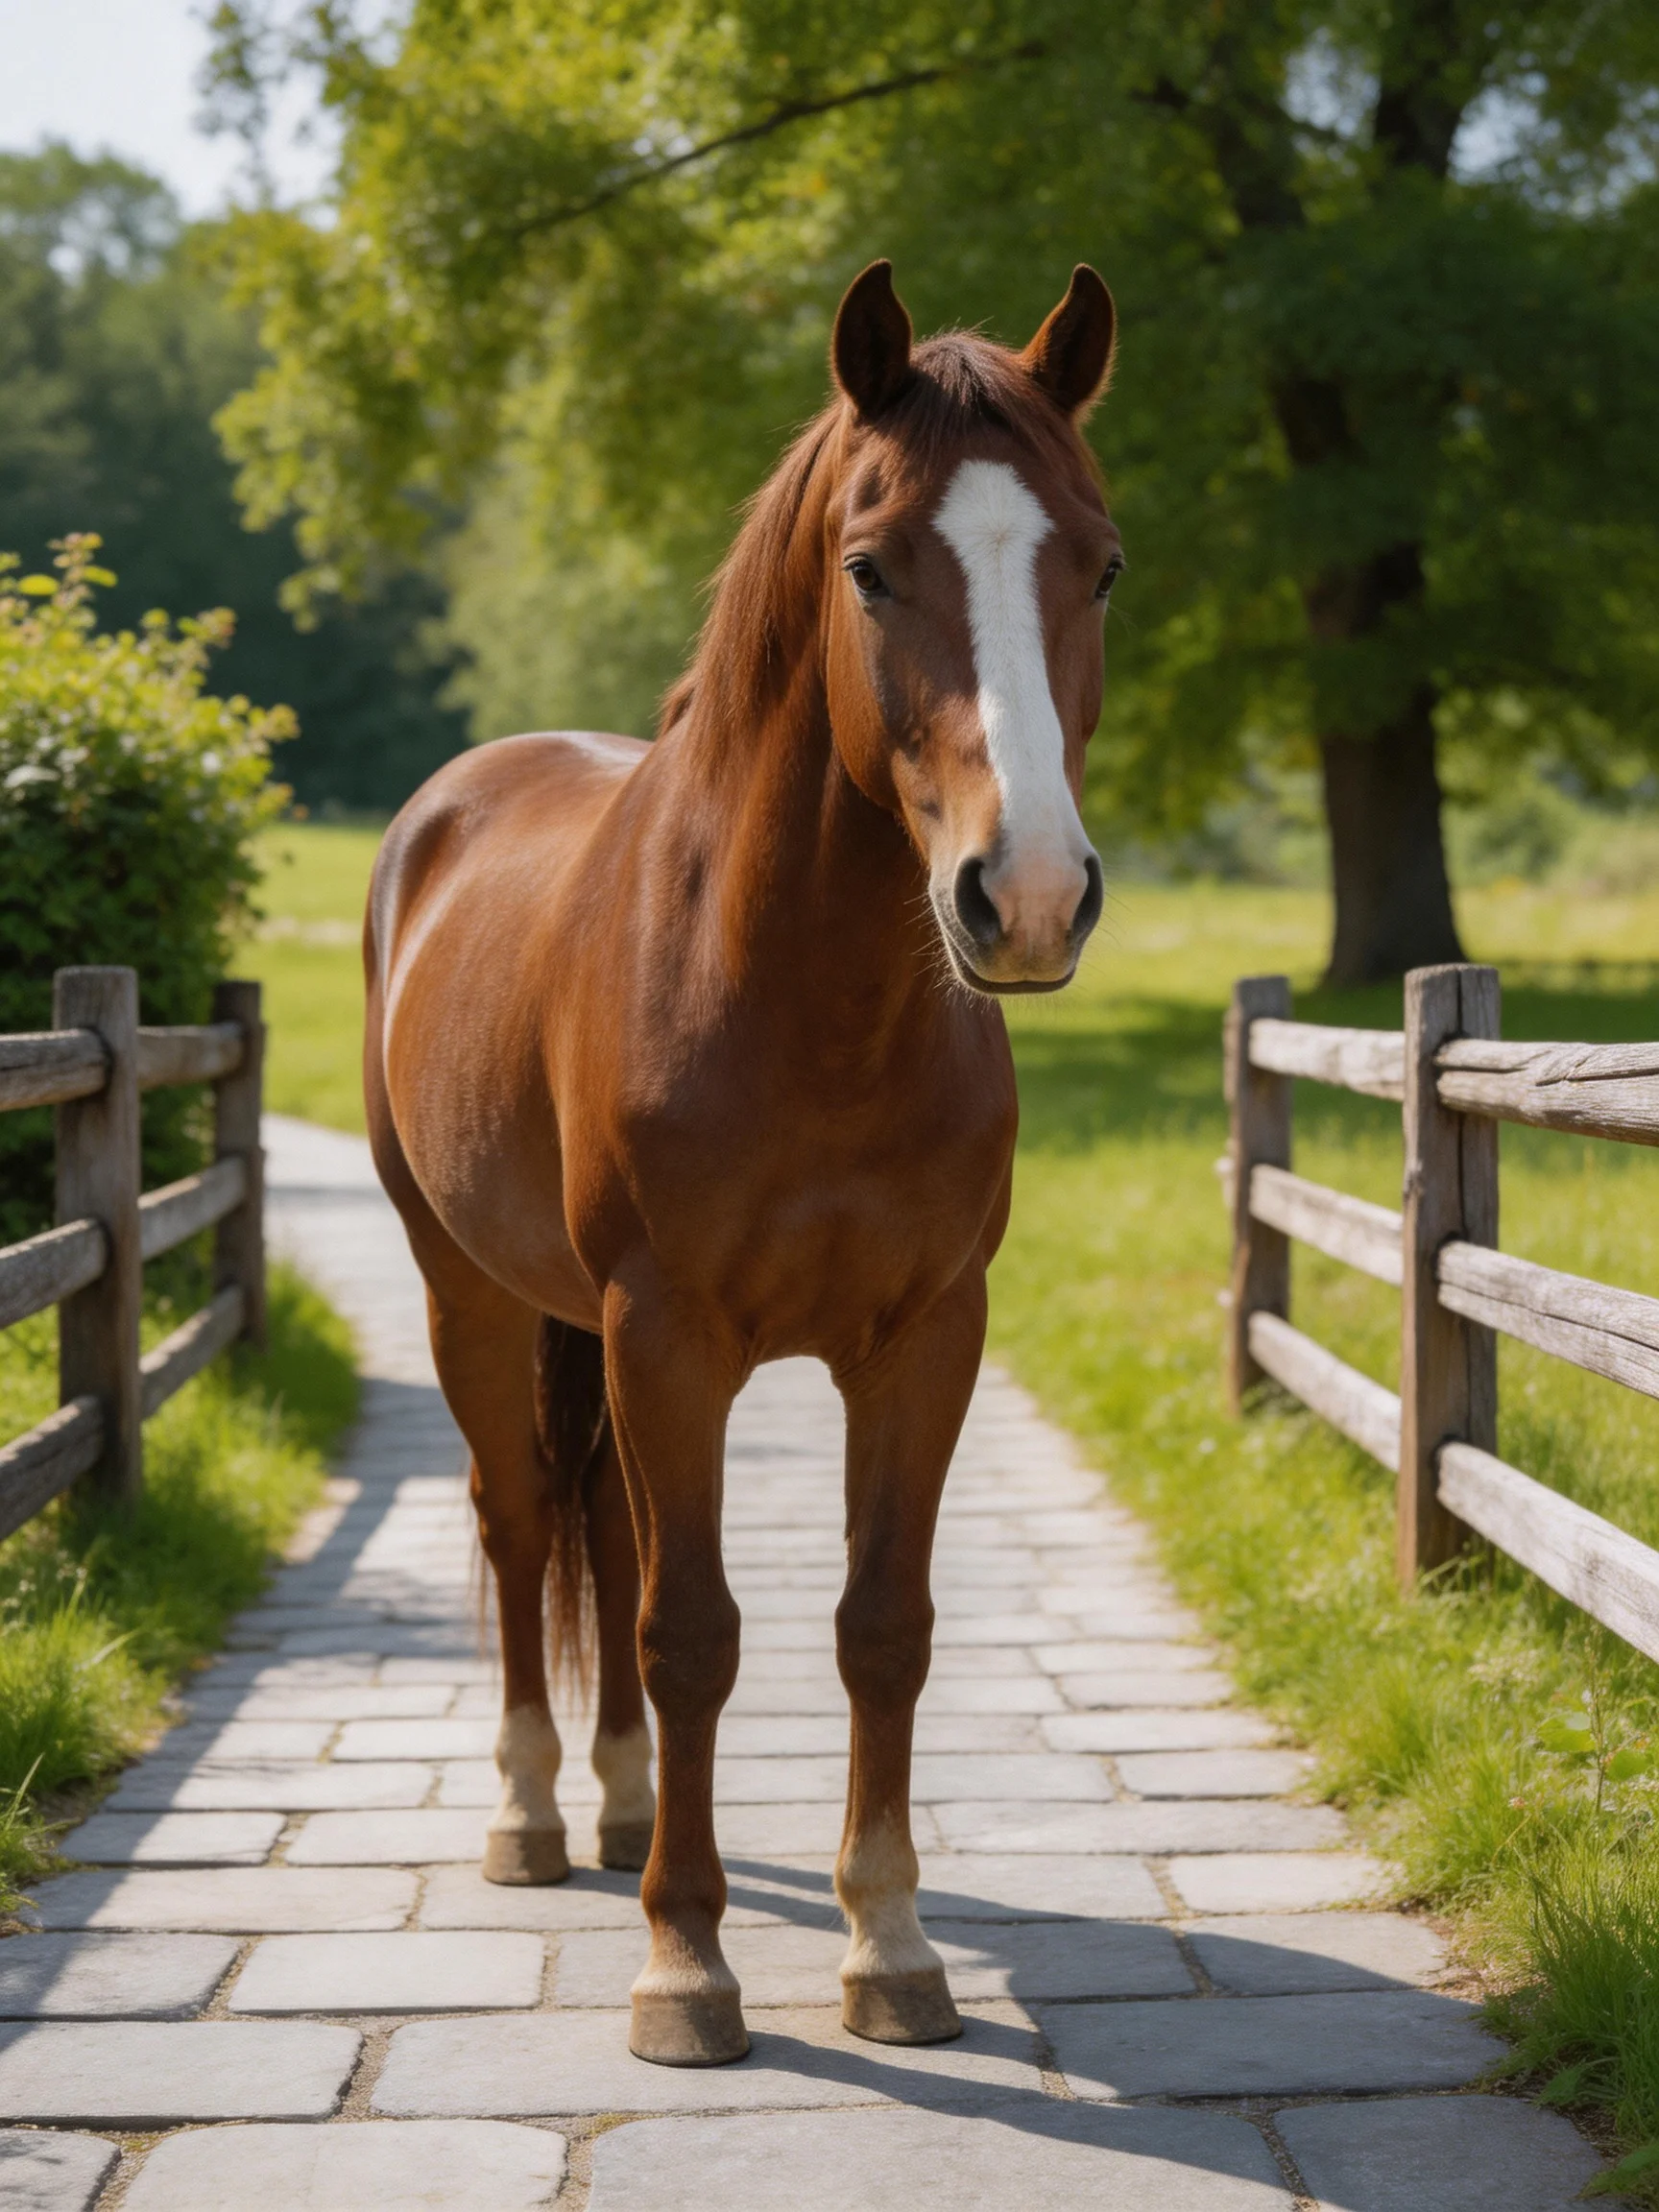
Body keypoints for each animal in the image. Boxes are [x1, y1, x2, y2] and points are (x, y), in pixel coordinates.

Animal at [363, 258, 1122, 2067]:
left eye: (1102, 559)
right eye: (870, 565)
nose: (1029, 895)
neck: (803, 1001)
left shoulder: (923, 1338)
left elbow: (880, 1626)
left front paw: (891, 1947)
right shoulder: (672, 1335)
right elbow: (694, 1629)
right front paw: (684, 1967)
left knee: (602, 1527)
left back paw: (632, 1805)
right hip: (471, 1295)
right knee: (522, 1521)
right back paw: (535, 1817)